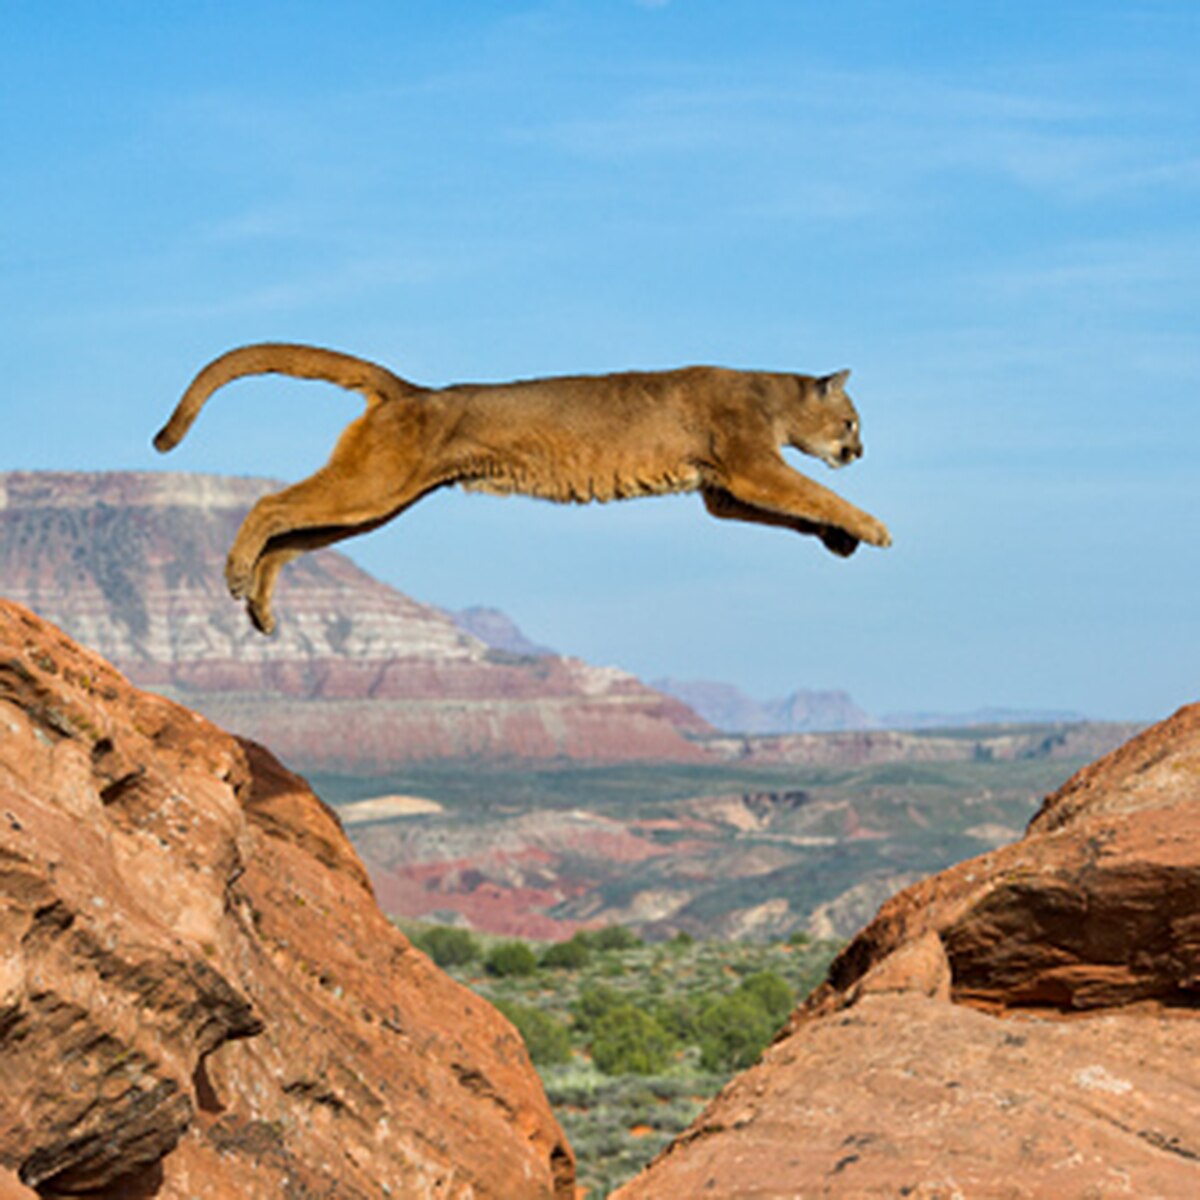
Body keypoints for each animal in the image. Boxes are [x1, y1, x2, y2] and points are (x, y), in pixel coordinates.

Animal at [154, 343, 891, 633]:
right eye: (852, 420)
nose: (858, 450)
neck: (771, 395)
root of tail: (412, 391)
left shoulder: (722, 489)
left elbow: (797, 510)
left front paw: (841, 539)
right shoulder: (747, 465)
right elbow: (811, 491)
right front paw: (874, 526)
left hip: (376, 501)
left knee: (291, 535)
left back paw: (259, 606)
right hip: (373, 486)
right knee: (269, 503)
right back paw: (235, 573)